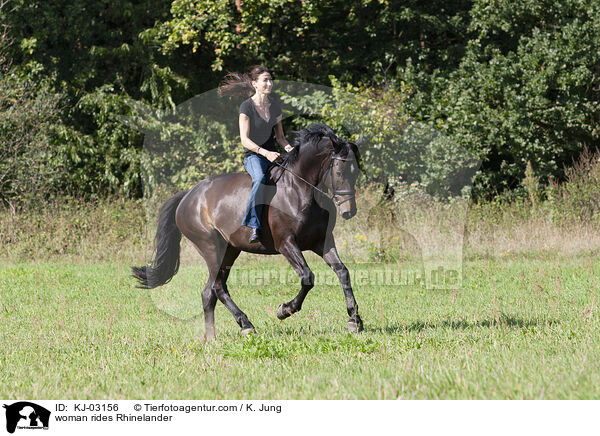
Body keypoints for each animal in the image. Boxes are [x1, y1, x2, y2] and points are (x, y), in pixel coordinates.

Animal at [133, 124, 364, 338]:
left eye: (356, 172)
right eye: (340, 171)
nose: (349, 211)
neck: (299, 189)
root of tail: (188, 195)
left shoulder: (322, 241)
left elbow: (343, 272)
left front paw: (354, 320)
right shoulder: (286, 243)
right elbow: (307, 277)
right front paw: (284, 310)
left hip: (229, 250)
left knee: (208, 292)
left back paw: (211, 338)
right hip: (209, 247)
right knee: (218, 288)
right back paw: (245, 324)